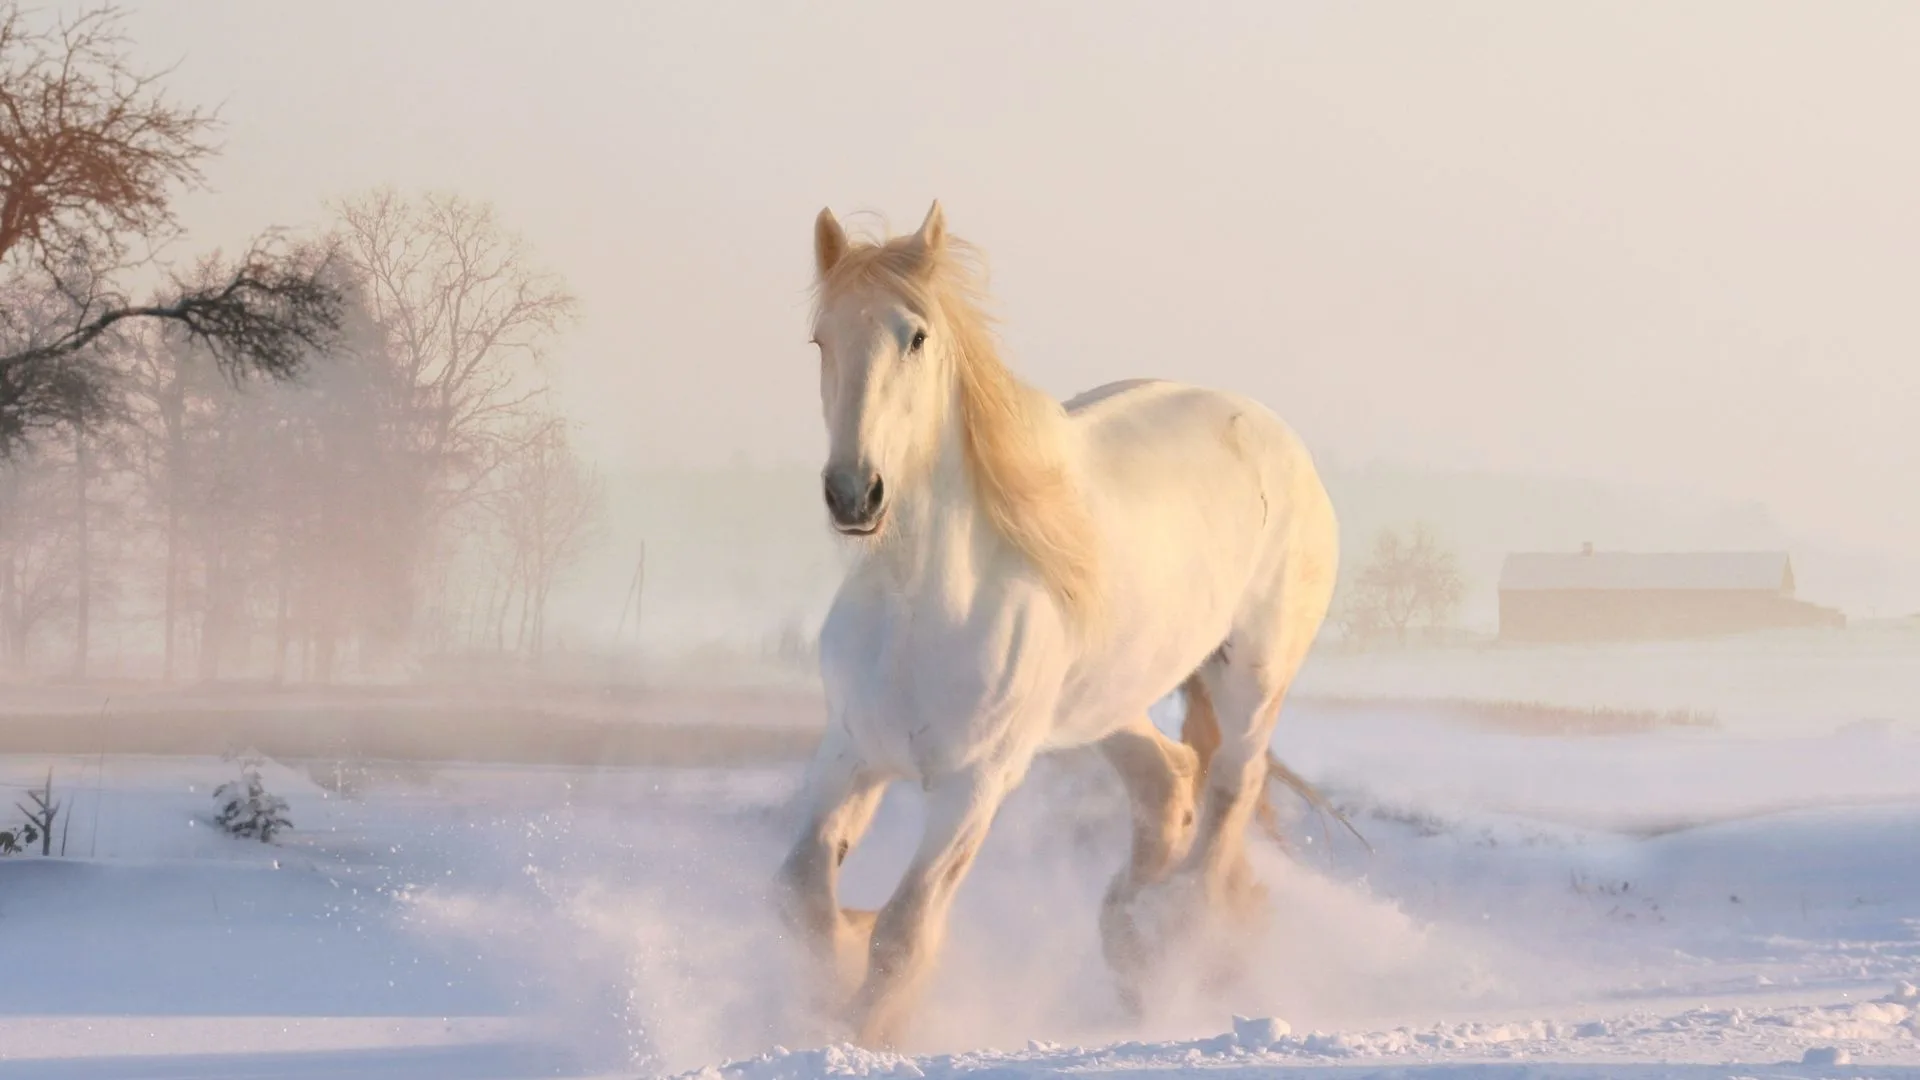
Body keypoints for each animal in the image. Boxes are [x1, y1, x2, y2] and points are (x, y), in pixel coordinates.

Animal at [775, 201, 1340, 1049]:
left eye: (916, 336)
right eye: (821, 338)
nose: (854, 494)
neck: (919, 607)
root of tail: (1278, 437)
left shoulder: (975, 783)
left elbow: (904, 932)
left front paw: (867, 1028)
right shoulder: (850, 752)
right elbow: (803, 896)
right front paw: (838, 961)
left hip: (1252, 678)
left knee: (1228, 794)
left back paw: (1177, 940)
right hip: (1106, 703)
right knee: (1169, 779)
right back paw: (1130, 937)